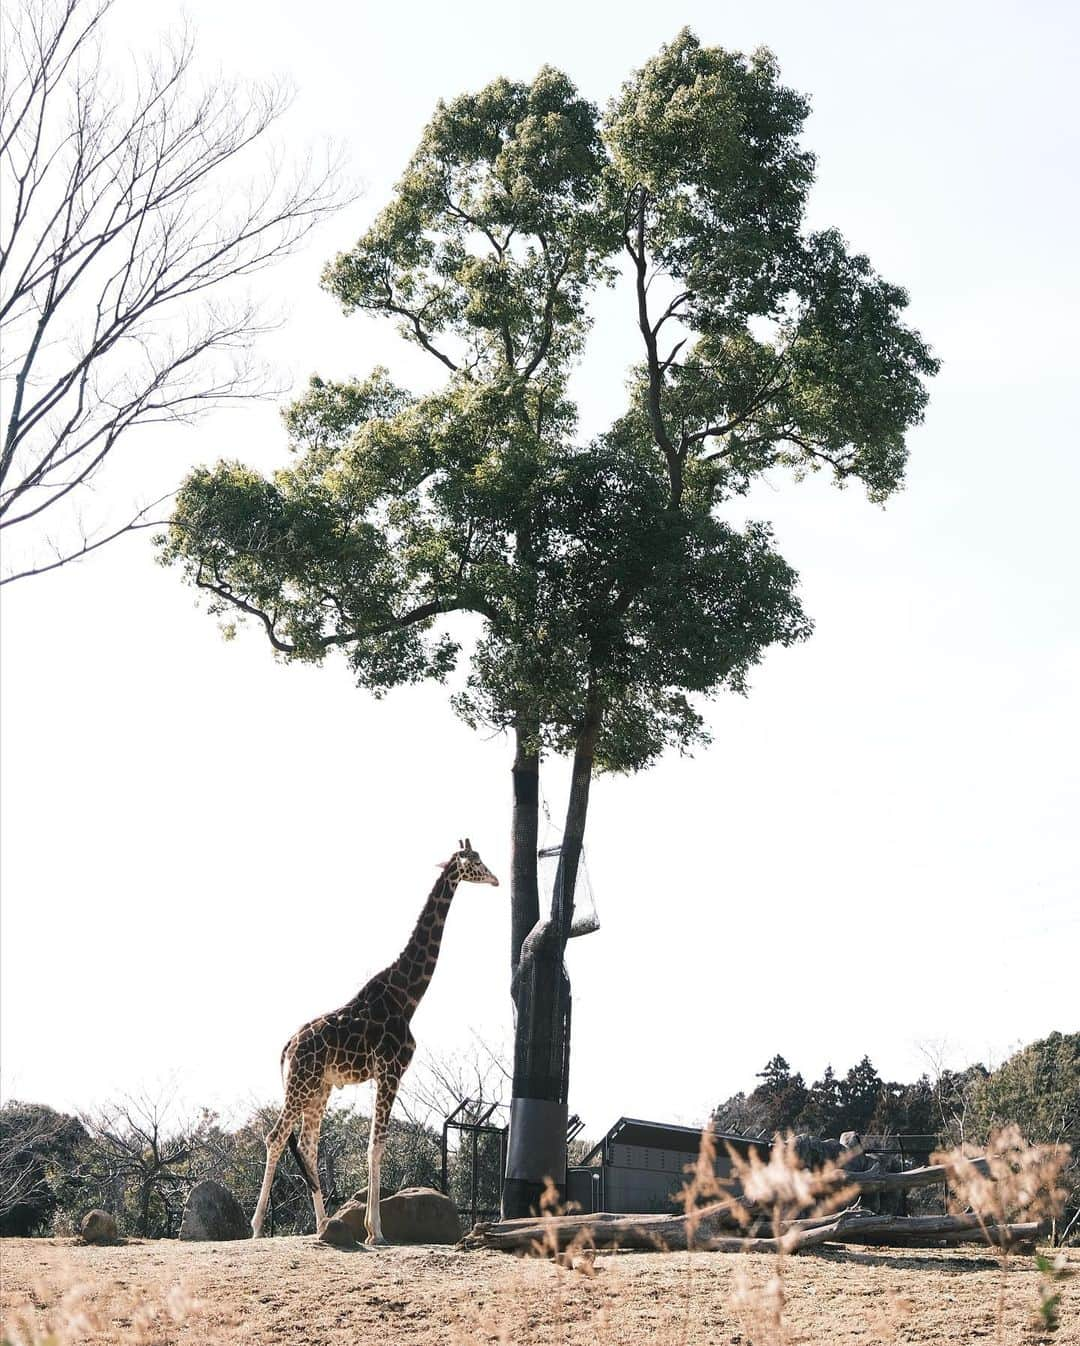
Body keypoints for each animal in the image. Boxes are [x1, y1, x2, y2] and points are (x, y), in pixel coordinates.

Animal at [253, 834, 500, 1243]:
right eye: (475, 861)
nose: (496, 879)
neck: (408, 996)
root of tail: (287, 1047)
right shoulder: (391, 1070)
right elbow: (376, 1145)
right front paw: (376, 1232)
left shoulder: (384, 1074)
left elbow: (373, 1143)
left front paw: (370, 1228)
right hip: (302, 1083)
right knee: (276, 1136)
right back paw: (257, 1226)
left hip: (319, 1088)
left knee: (307, 1143)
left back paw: (324, 1225)